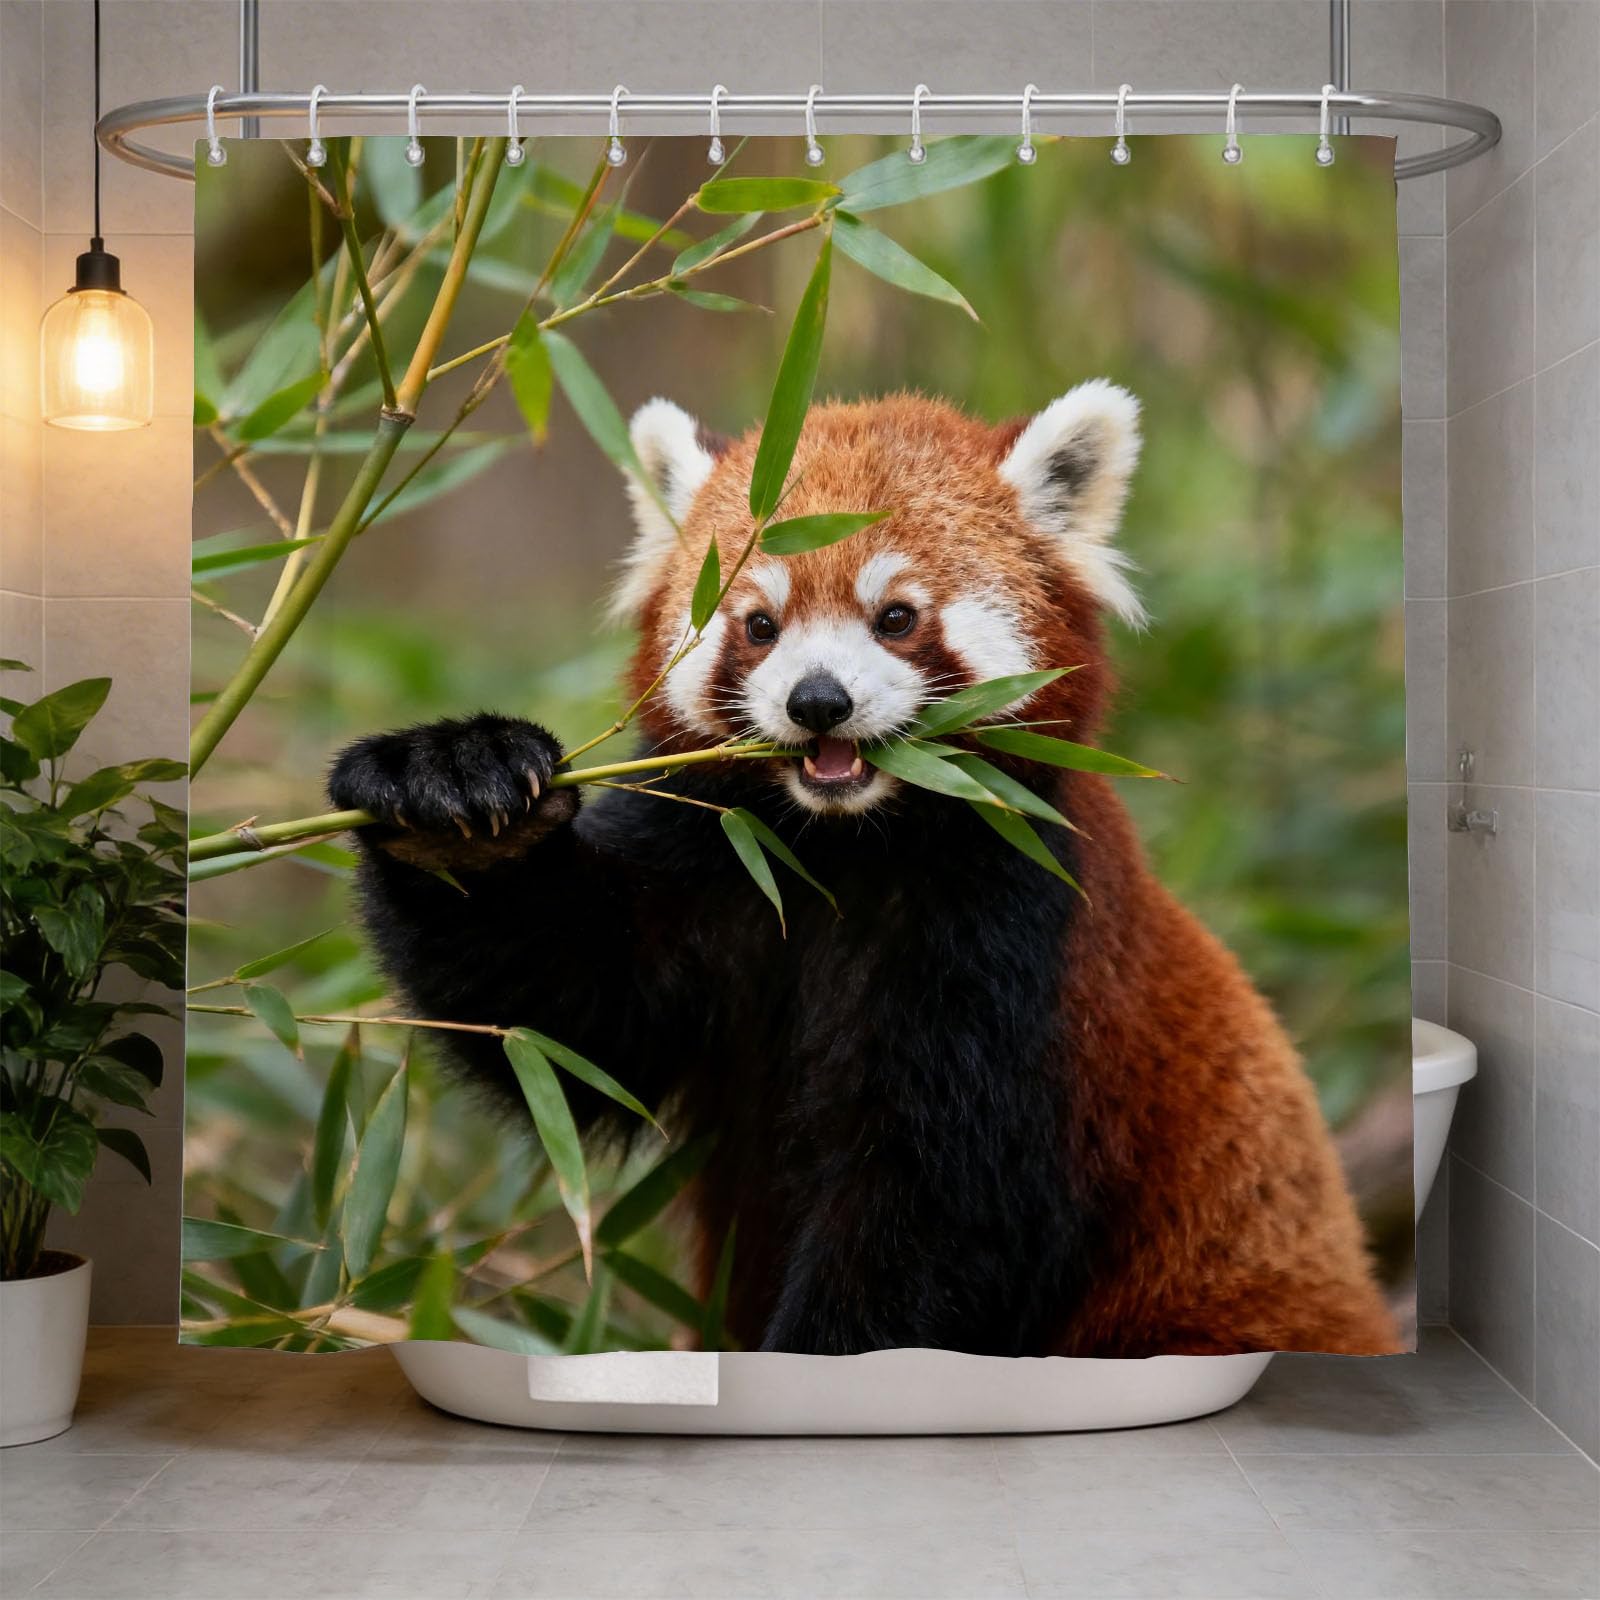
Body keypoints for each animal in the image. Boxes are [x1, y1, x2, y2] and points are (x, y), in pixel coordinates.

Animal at [328, 383, 1402, 1358]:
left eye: (895, 617)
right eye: (757, 623)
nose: (818, 703)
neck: (840, 850)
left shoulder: (1019, 935)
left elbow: (938, 1224)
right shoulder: (716, 860)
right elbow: (565, 1010)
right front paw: (456, 797)